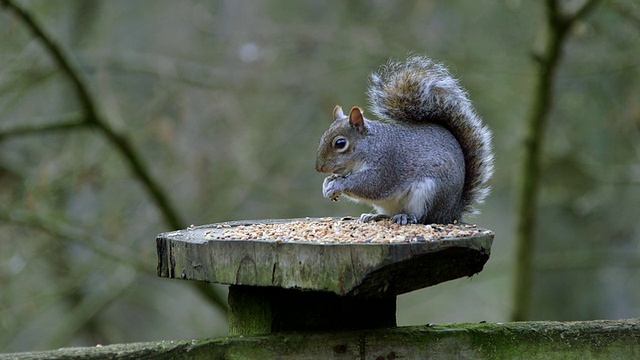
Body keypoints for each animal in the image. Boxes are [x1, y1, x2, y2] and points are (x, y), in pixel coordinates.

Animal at [316, 54, 496, 224]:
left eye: (340, 143)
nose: (319, 168)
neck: (371, 145)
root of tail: (452, 212)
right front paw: (326, 184)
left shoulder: (386, 164)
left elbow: (371, 185)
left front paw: (338, 184)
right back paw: (374, 216)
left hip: (429, 193)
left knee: (424, 218)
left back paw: (407, 217)